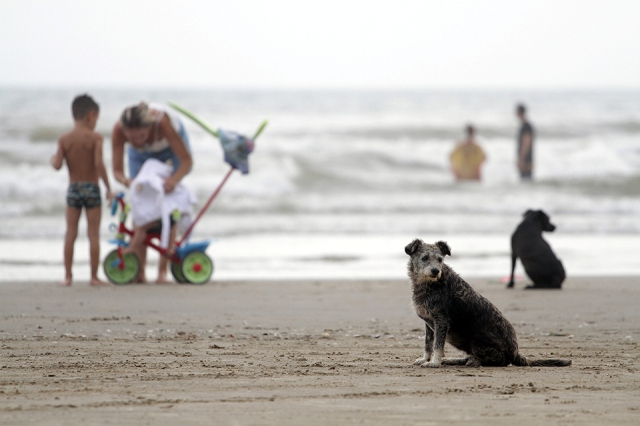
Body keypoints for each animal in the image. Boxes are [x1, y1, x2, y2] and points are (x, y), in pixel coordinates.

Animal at [404, 238, 568, 368]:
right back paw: (454, 360)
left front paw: (434, 362)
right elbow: (428, 344)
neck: (431, 284)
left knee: (495, 361)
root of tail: (516, 354)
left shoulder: (441, 321)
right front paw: (425, 359)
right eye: (424, 257)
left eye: (440, 259)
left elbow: (437, 345)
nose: (435, 271)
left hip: (477, 342)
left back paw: (472, 361)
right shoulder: (429, 322)